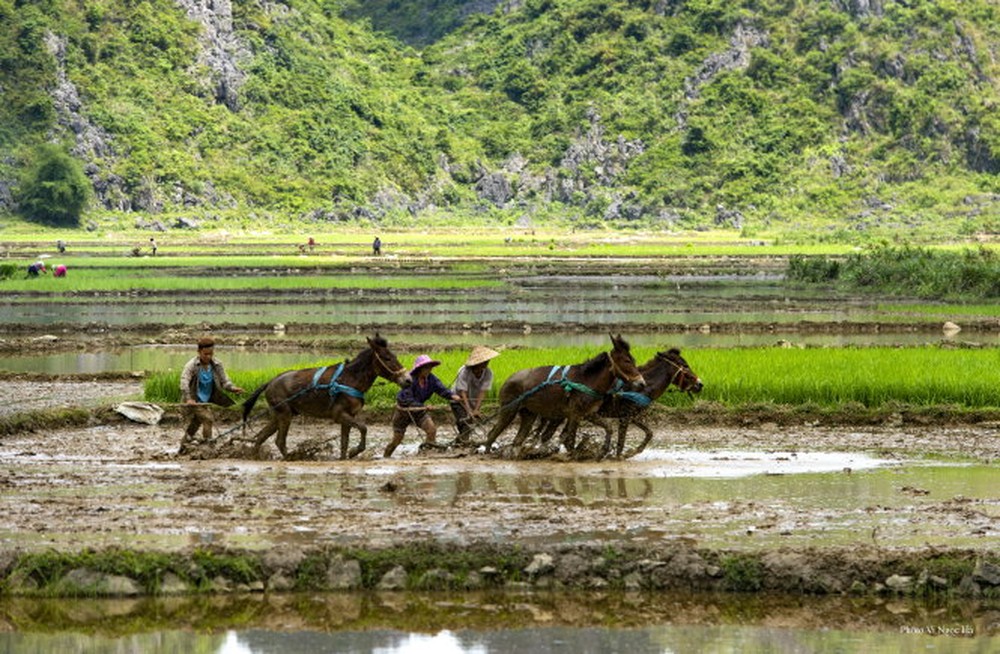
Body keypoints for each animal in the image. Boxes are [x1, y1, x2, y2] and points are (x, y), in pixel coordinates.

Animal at [242, 338, 410, 462]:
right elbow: (363, 428)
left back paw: (254, 457)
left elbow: (344, 442)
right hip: (284, 415)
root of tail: (270, 382)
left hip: (279, 415)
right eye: (387, 358)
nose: (407, 379)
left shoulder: (348, 416)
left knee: (262, 436)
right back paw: (291, 457)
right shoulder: (339, 415)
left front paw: (344, 457)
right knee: (279, 441)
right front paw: (354, 451)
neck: (350, 380)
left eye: (395, 356)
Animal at [480, 336, 644, 458]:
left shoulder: (588, 414)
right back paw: (487, 454)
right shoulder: (574, 415)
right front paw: (575, 455)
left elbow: (608, 427)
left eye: (634, 360)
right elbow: (570, 442)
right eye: (627, 361)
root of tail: (508, 379)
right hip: (508, 410)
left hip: (528, 415)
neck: (587, 380)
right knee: (492, 434)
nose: (642, 383)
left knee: (517, 440)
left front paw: (603, 451)